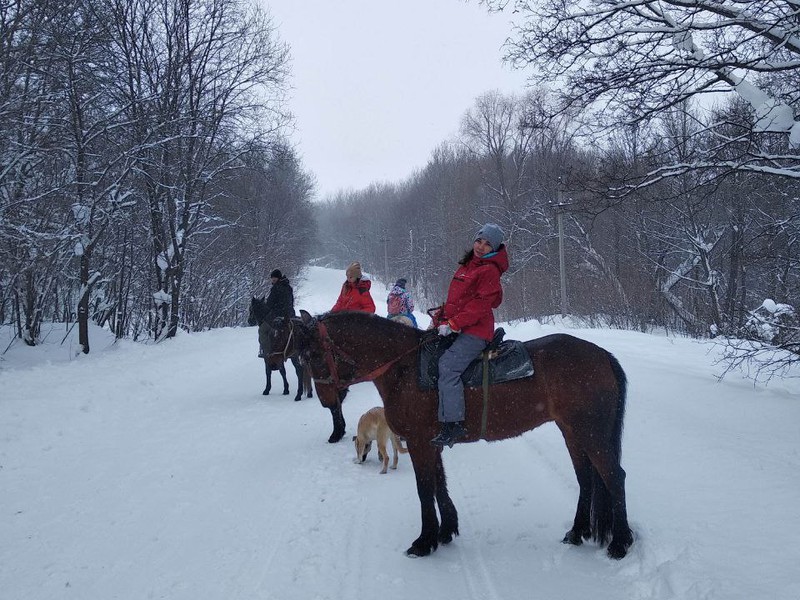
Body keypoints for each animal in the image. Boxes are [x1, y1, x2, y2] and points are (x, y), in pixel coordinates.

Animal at [290, 312, 636, 560]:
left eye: (313, 355)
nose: (327, 401)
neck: (404, 367)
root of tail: (602, 356)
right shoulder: (432, 443)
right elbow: (440, 485)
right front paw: (445, 531)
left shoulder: (419, 442)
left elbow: (425, 489)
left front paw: (424, 541)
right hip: (573, 432)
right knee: (587, 479)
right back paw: (578, 532)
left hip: (591, 432)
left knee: (614, 477)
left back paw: (620, 543)